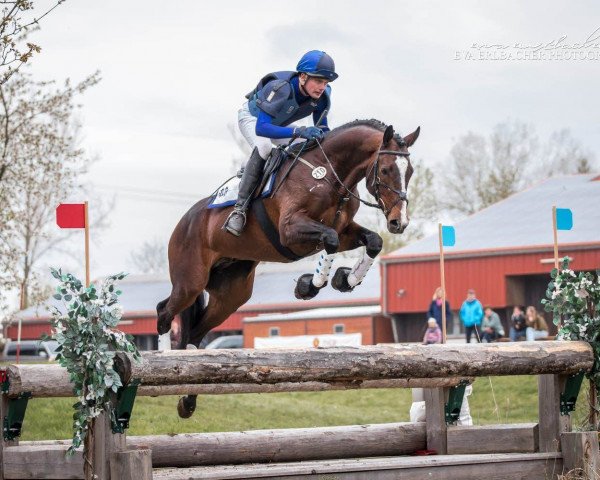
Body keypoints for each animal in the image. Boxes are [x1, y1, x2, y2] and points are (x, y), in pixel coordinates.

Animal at [156, 118, 418, 418]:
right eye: (385, 170)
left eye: (409, 171)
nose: (399, 222)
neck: (330, 175)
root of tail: (184, 222)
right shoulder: (291, 230)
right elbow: (330, 239)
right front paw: (308, 286)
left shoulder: (345, 230)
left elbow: (372, 241)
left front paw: (345, 279)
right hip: (190, 281)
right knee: (164, 311)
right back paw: (163, 365)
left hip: (231, 295)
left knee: (196, 334)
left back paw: (187, 401)